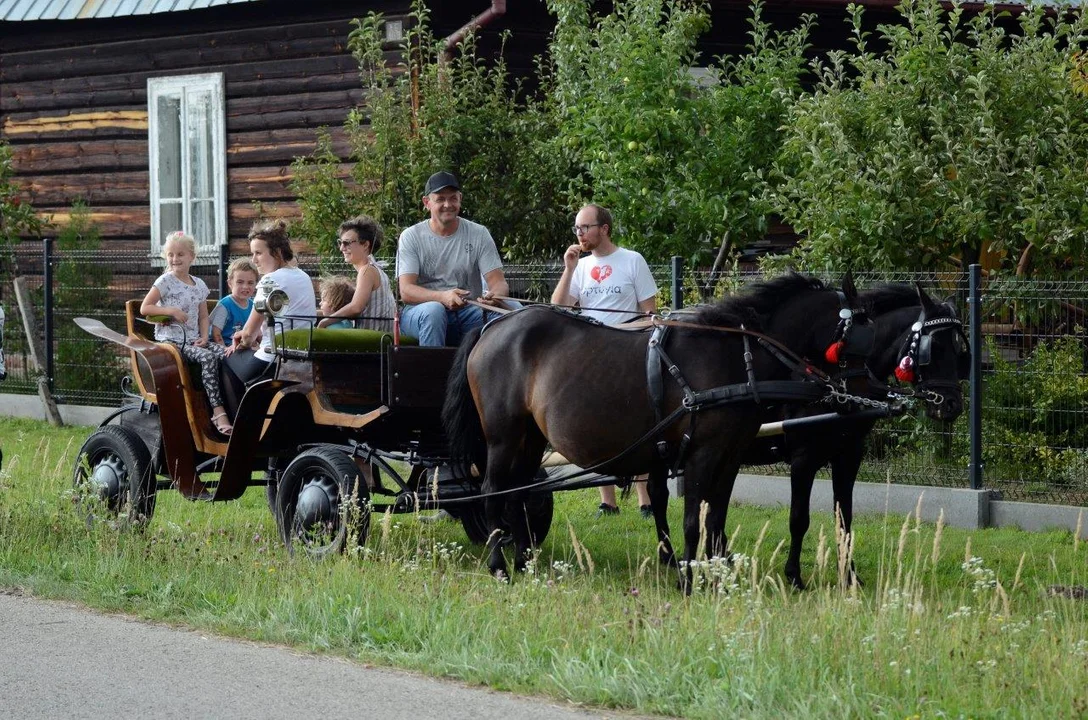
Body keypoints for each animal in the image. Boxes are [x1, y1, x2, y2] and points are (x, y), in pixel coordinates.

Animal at [441, 271, 874, 587]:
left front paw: (718, 575)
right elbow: (692, 520)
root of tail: (495, 326)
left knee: (519, 492)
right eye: (855, 342)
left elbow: (716, 518)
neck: (737, 356)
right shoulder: (702, 453)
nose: (863, 402)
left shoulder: (731, 455)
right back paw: (499, 565)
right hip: (503, 435)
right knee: (493, 490)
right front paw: (688, 578)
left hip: (530, 437)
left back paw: (524, 560)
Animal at [739, 284, 970, 591]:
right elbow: (799, 518)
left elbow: (844, 518)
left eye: (959, 349)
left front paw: (849, 576)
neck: (840, 379)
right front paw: (794, 576)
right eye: (935, 348)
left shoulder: (848, 456)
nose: (952, 405)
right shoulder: (803, 460)